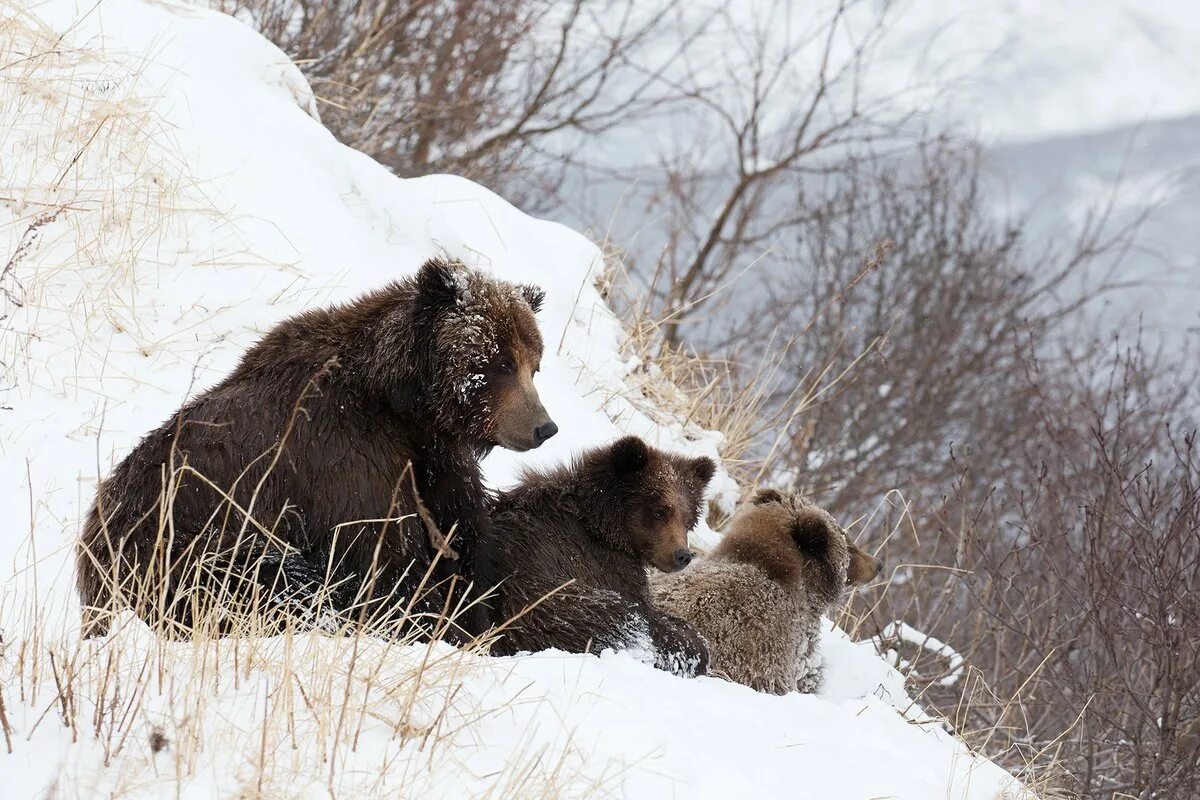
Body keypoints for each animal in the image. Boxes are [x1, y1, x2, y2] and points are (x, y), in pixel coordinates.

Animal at [77, 257, 554, 642]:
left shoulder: (434, 460)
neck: (402, 404)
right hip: (183, 545)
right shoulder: (343, 460)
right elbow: (387, 559)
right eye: (500, 362)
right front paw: (428, 623)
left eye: (534, 364)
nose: (544, 427)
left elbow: (463, 538)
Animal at [482, 438, 715, 676]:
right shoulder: (605, 565)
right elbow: (649, 615)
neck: (603, 527)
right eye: (659, 512)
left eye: (688, 520)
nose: (683, 555)